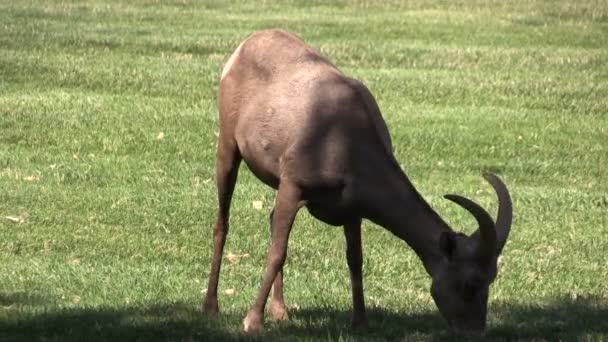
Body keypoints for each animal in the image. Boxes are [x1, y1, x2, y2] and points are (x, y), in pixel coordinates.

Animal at [204, 29, 512, 334]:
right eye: (469, 283)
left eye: (492, 278)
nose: (475, 331)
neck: (343, 139)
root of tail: (243, 46)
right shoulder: (293, 185)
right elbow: (278, 251)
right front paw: (252, 320)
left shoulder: (351, 206)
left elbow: (355, 258)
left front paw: (360, 321)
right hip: (228, 142)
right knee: (222, 222)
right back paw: (211, 306)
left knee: (269, 218)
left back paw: (281, 311)